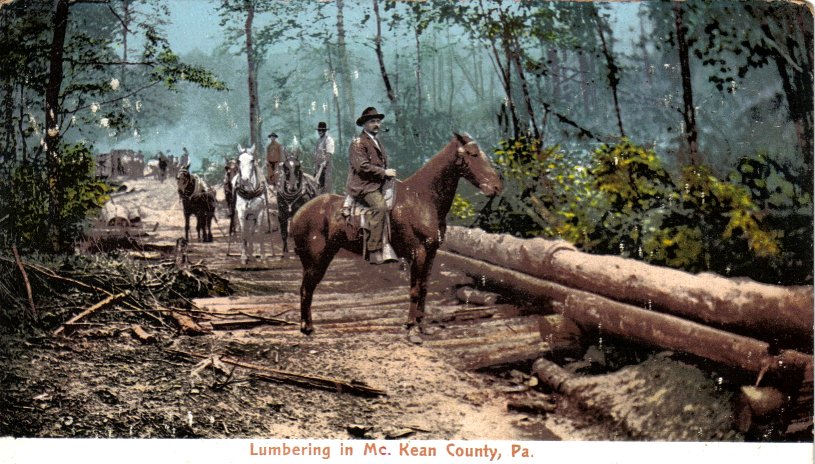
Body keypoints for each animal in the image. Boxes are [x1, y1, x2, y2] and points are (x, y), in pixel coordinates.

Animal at [288, 132, 504, 336]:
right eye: (473, 154)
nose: (496, 187)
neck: (422, 199)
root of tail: (298, 214)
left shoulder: (431, 253)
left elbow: (424, 288)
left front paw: (422, 325)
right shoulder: (417, 253)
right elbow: (414, 290)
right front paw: (411, 325)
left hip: (325, 255)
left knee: (308, 289)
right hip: (315, 259)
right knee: (306, 289)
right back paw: (306, 328)